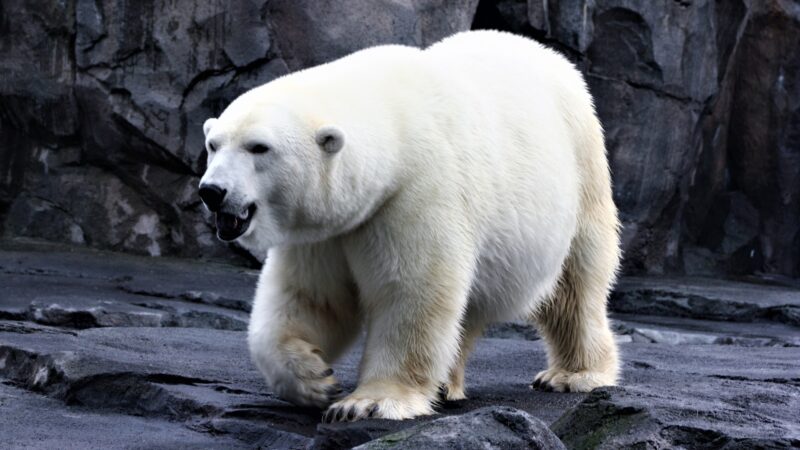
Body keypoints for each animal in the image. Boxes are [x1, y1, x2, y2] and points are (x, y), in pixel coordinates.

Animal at [198, 29, 620, 420]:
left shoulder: (415, 193)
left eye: (259, 147)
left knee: (576, 284)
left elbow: (410, 292)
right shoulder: (327, 230)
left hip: (581, 171)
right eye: (214, 144)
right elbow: (310, 296)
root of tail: (548, 54)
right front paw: (313, 378)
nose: (212, 191)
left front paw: (367, 402)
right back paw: (448, 384)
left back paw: (572, 375)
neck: (392, 125)